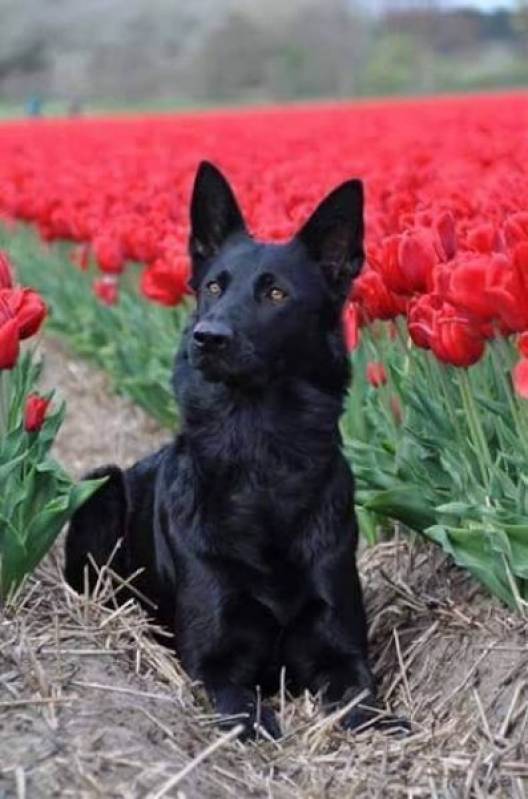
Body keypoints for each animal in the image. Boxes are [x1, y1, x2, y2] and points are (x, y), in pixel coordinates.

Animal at [66, 161, 400, 736]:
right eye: (214, 287)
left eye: (276, 294)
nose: (208, 337)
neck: (261, 455)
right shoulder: (214, 664)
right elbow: (244, 710)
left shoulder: (341, 651)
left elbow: (361, 701)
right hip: (101, 486)